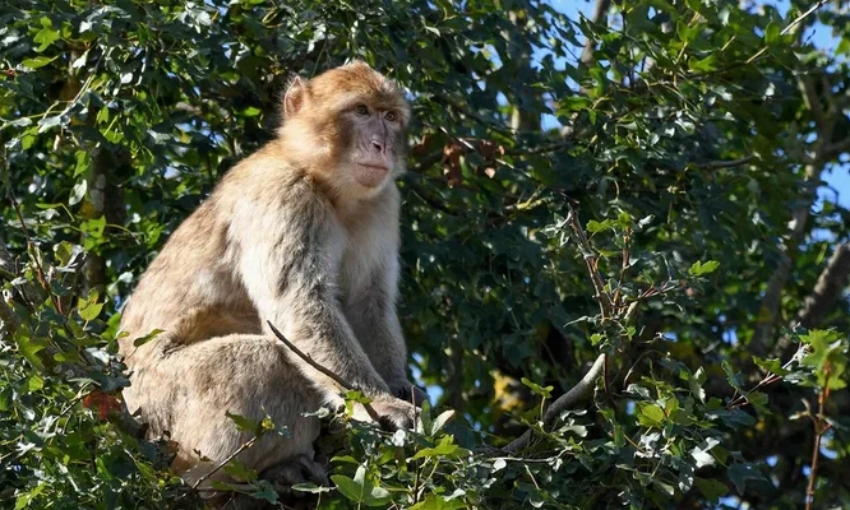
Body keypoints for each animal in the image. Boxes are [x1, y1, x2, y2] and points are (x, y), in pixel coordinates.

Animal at [116, 60, 428, 502]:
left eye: (390, 117)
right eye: (361, 111)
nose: (381, 144)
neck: (328, 187)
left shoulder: (382, 204)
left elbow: (368, 302)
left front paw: (399, 387)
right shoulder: (282, 195)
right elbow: (300, 305)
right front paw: (383, 404)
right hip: (160, 409)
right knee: (266, 361)